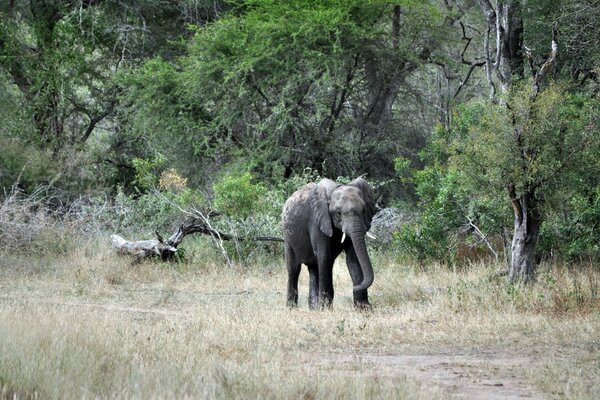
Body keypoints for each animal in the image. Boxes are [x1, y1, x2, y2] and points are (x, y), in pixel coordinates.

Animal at [282, 177, 376, 310]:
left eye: (363, 210)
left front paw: (364, 308)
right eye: (338, 213)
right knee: (294, 269)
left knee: (314, 268)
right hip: (287, 237)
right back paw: (292, 307)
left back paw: (313, 308)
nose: (354, 287)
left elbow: (353, 258)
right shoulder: (317, 221)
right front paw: (326, 309)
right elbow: (324, 256)